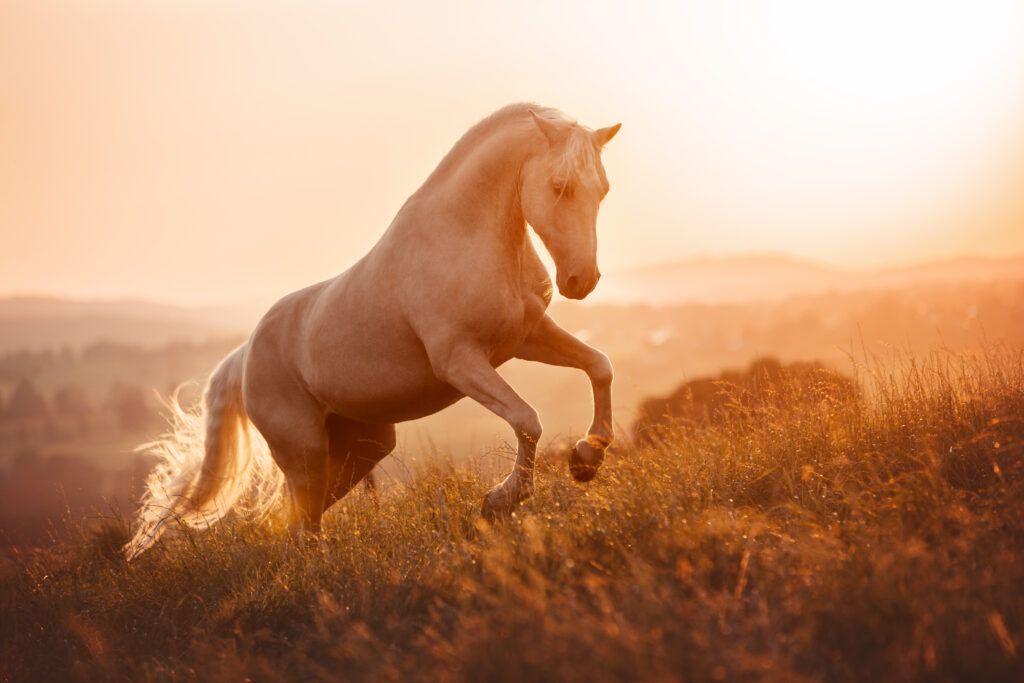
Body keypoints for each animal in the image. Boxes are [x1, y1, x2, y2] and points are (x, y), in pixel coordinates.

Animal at [123, 102, 618, 561]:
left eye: (603, 190)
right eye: (560, 186)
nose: (582, 281)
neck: (464, 239)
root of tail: (243, 357)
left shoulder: (527, 339)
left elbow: (600, 366)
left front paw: (587, 458)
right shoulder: (459, 361)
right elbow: (527, 419)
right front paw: (501, 500)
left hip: (359, 450)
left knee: (304, 521)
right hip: (305, 451)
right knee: (300, 525)